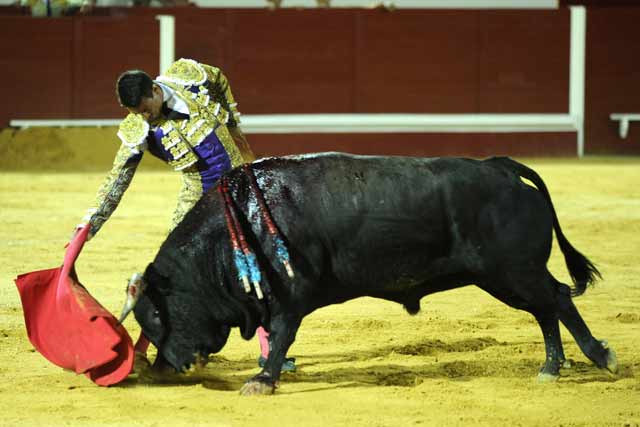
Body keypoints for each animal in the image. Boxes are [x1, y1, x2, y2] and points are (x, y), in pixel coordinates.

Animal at [132, 153, 616, 394]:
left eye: (154, 315)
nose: (161, 370)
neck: (236, 226)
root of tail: (501, 167)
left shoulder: (289, 295)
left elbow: (283, 333)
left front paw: (263, 380)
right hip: (509, 276)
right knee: (548, 306)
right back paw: (560, 366)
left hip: (512, 271)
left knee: (555, 300)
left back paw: (590, 359)